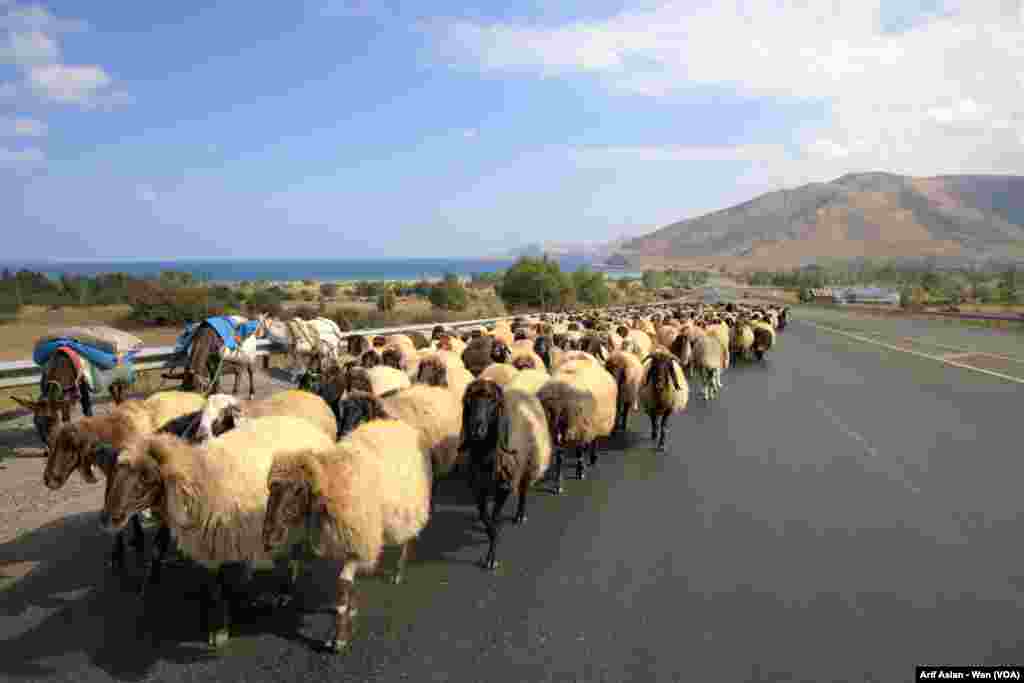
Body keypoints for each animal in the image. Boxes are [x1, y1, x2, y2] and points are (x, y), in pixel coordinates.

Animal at [44, 389, 206, 573]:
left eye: (70, 447)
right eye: (50, 444)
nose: (48, 480)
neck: (117, 430)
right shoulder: (114, 478)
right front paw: (125, 546)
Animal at [99, 413, 333, 651]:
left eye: (146, 478)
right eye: (113, 475)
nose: (107, 519)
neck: (204, 479)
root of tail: (308, 426)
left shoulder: (223, 538)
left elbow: (223, 585)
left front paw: (221, 629)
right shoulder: (210, 544)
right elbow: (215, 586)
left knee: (295, 554)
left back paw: (285, 591)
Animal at [460, 378, 552, 573]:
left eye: (492, 401)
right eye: (469, 401)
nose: (476, 429)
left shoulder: (504, 487)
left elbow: (495, 519)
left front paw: (491, 558)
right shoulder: (478, 488)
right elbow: (485, 518)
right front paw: (489, 533)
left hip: (529, 464)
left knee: (523, 490)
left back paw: (520, 515)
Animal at [536, 358, 614, 491]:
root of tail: (556, 401)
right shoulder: (587, 424)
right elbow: (585, 447)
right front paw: (585, 466)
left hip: (553, 426)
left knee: (559, 454)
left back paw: (558, 483)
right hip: (572, 423)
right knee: (568, 452)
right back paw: (565, 481)